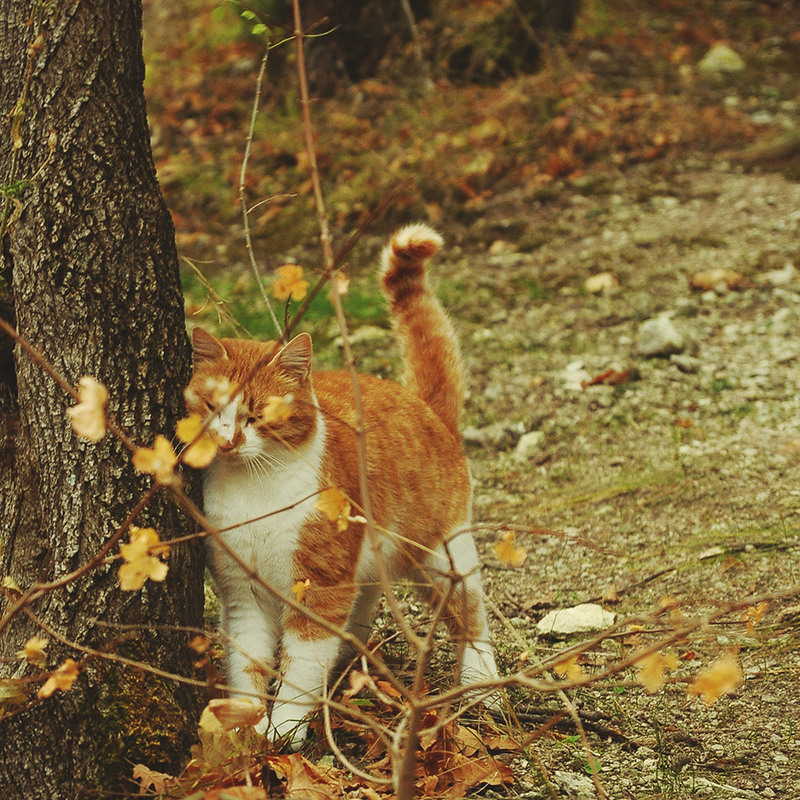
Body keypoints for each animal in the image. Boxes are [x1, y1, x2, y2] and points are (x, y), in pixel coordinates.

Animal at [187, 223, 496, 752]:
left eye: (257, 415)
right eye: (211, 407)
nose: (227, 441)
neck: (254, 492)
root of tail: (425, 404)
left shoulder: (321, 589)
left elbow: (299, 669)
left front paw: (283, 729)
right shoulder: (241, 591)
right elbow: (248, 665)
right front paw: (246, 726)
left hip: (439, 558)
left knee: (472, 615)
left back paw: (481, 685)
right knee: (364, 605)